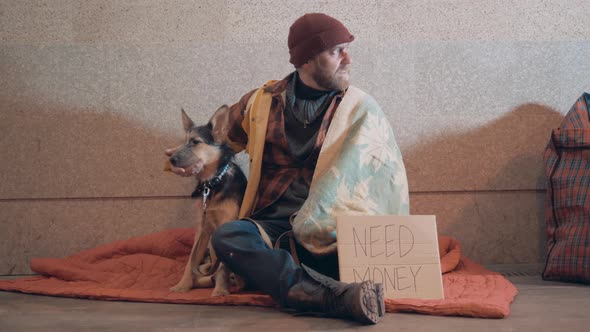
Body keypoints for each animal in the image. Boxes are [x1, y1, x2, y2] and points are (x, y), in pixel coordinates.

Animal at [165, 105, 249, 296]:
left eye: (195, 142)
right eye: (183, 142)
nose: (171, 160)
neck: (212, 184)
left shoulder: (227, 224)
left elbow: (223, 266)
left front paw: (220, 291)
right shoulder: (203, 228)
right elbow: (191, 260)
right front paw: (183, 285)